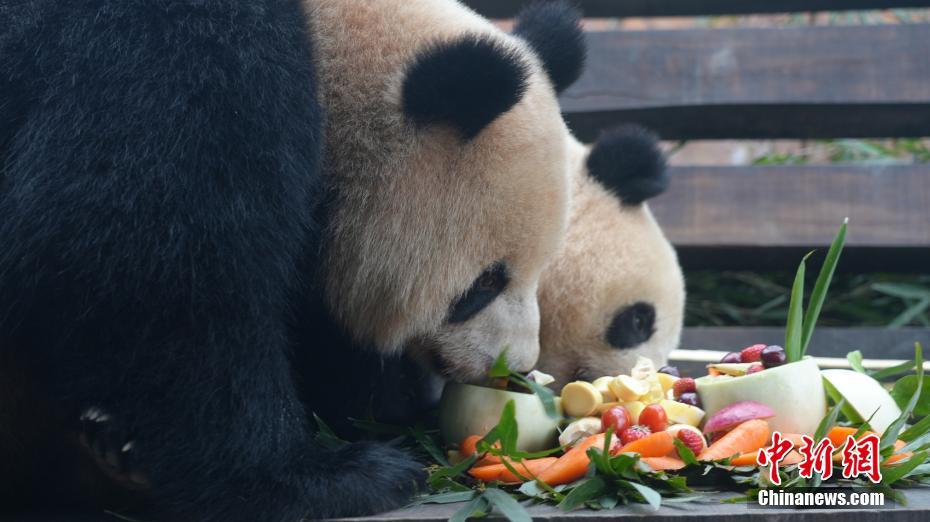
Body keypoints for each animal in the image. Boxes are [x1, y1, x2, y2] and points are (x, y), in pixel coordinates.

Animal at [1, 1, 584, 521]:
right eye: (484, 284)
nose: (516, 367)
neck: (327, 43)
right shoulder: (172, 64)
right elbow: (138, 265)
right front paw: (328, 478)